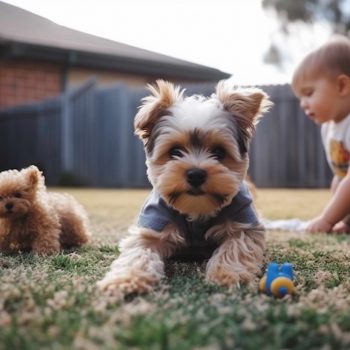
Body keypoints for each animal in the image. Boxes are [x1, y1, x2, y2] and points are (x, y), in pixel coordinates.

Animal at [97, 80, 272, 294]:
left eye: (219, 152)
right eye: (175, 151)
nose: (196, 174)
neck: (196, 209)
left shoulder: (243, 221)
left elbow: (236, 247)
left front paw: (228, 275)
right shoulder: (153, 224)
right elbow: (138, 252)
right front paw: (125, 279)